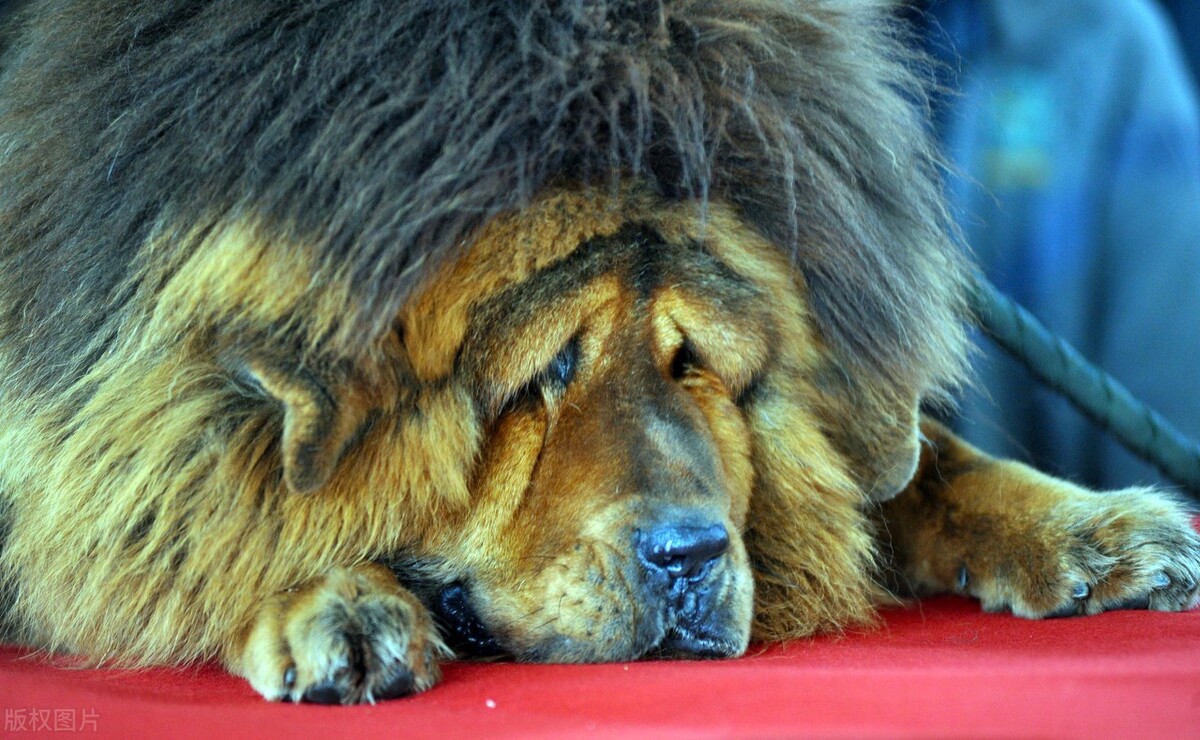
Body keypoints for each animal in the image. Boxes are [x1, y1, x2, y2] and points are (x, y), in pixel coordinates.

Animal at [2, 0, 1200, 705]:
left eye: (693, 360)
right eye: (542, 374)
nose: (690, 556)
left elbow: (927, 464)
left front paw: (1097, 528)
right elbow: (184, 492)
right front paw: (327, 596)